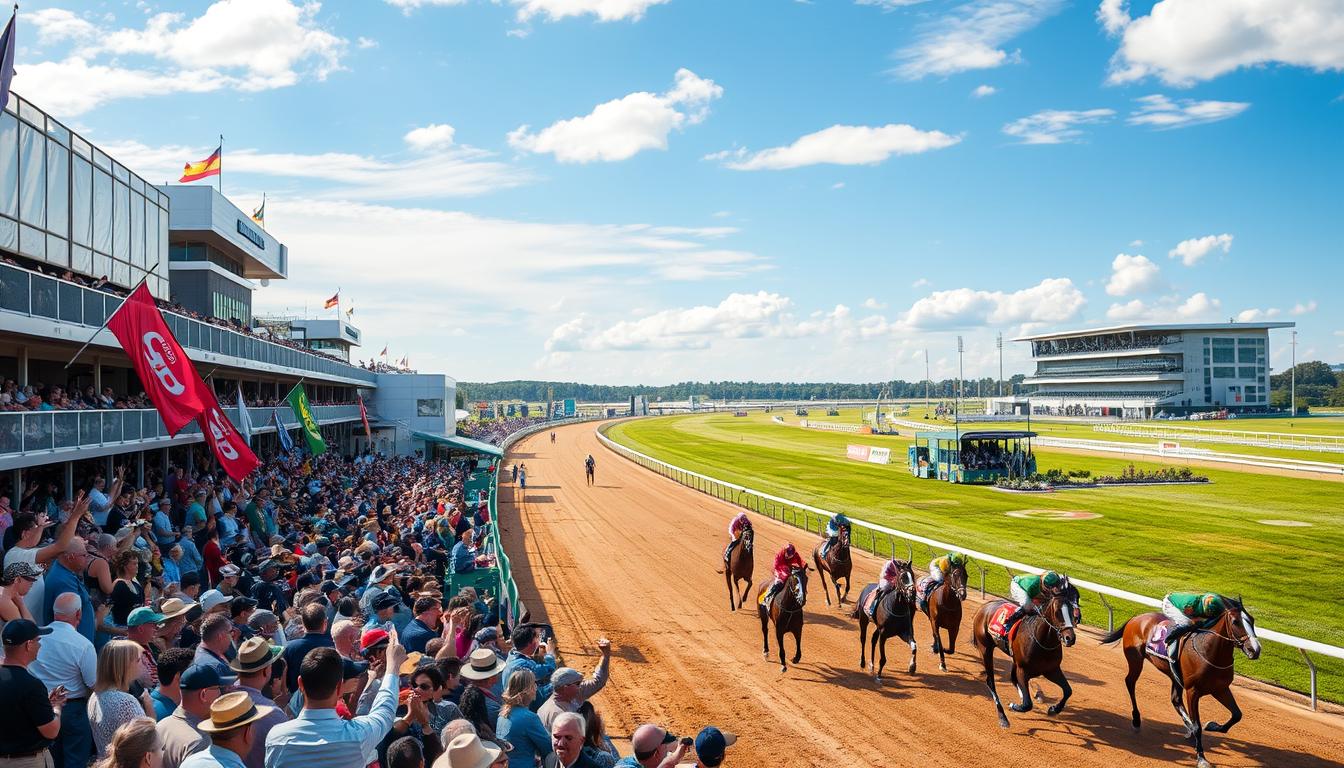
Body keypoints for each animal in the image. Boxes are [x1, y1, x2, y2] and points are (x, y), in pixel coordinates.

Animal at [967, 583, 1080, 726]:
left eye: (1072, 611)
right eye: (1057, 612)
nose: (1069, 638)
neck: (1042, 640)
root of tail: (983, 607)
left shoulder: (1051, 670)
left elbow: (1068, 691)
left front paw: (1054, 708)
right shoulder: (1023, 670)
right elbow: (1027, 705)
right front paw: (1015, 706)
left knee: (1012, 678)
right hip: (985, 648)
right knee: (991, 681)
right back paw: (1003, 717)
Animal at [1102, 599, 1257, 768]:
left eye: (1253, 620)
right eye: (1236, 621)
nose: (1255, 650)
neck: (1209, 652)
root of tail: (1136, 618)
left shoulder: (1220, 689)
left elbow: (1237, 715)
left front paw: (1212, 726)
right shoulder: (1193, 691)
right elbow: (1198, 726)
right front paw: (1201, 758)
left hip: (1173, 674)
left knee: (1175, 699)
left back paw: (1188, 729)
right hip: (1136, 660)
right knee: (1130, 682)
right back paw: (1136, 719)